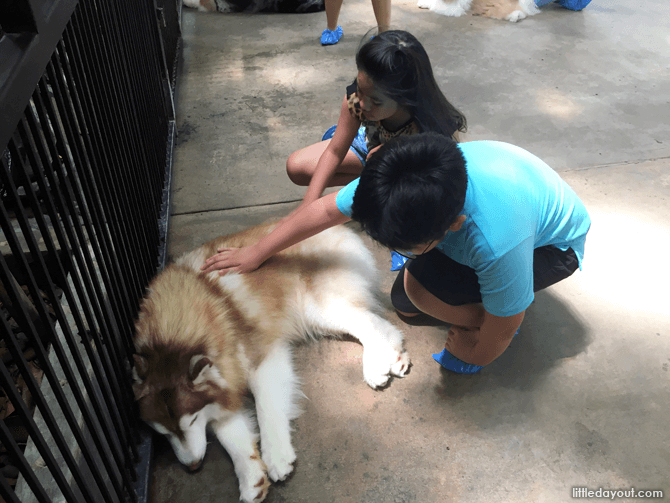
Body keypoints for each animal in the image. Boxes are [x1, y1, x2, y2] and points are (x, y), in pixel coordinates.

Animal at [133, 224, 410, 503]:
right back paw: (392, 360)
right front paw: (250, 476)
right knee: (378, 323)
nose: (192, 466)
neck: (172, 335)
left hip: (315, 308)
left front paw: (276, 456)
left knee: (369, 323)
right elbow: (230, 433)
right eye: (163, 433)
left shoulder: (263, 359)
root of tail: (339, 229)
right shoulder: (223, 385)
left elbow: (266, 409)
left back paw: (377, 366)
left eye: (189, 423)